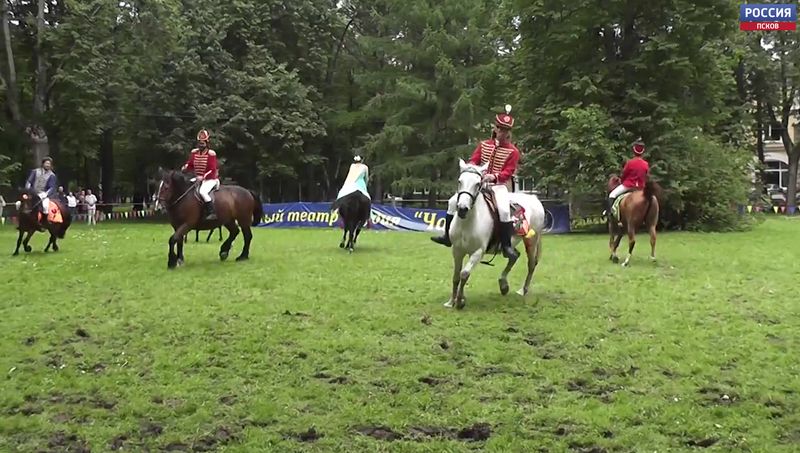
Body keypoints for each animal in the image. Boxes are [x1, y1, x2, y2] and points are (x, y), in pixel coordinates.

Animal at [440, 157, 548, 308]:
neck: (468, 223)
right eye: (459, 181)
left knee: (531, 264)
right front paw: (451, 302)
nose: (462, 209)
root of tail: (534, 199)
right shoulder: (457, 250)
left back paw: (523, 290)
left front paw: (460, 301)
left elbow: (464, 274)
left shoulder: (478, 252)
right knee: (514, 256)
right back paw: (503, 285)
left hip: (531, 241)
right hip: (510, 244)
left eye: (477, 183)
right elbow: (456, 276)